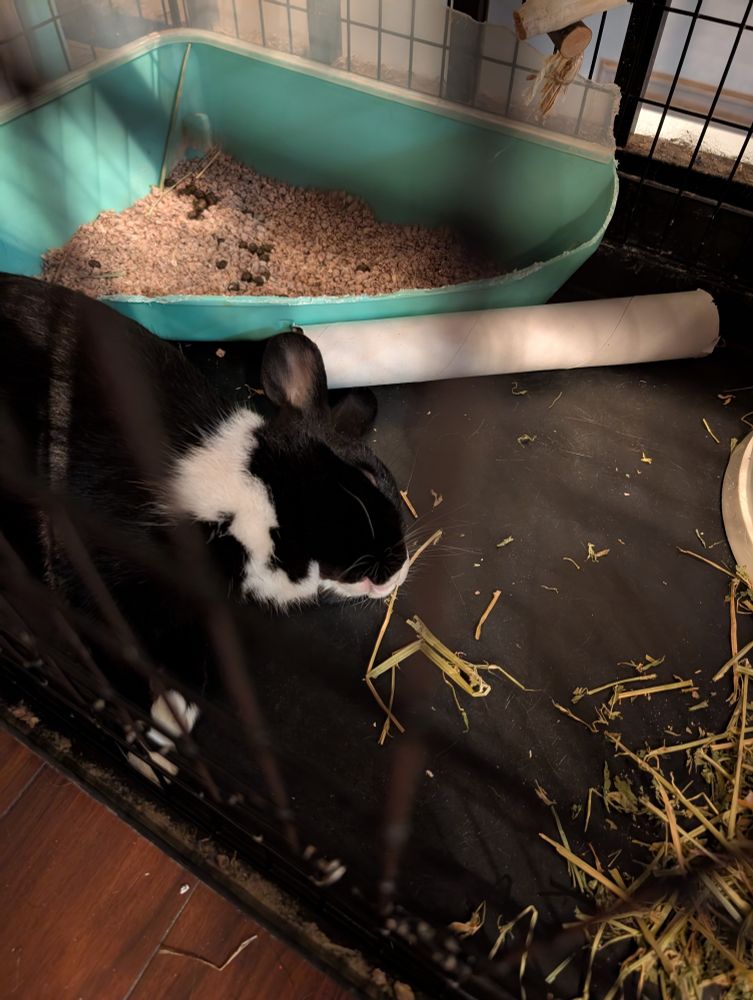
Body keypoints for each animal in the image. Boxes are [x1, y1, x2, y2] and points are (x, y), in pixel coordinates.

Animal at [0, 272, 409, 780]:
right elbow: (107, 650)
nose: (401, 569)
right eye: (368, 477)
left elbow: (191, 668)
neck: (253, 499)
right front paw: (148, 753)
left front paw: (168, 725)